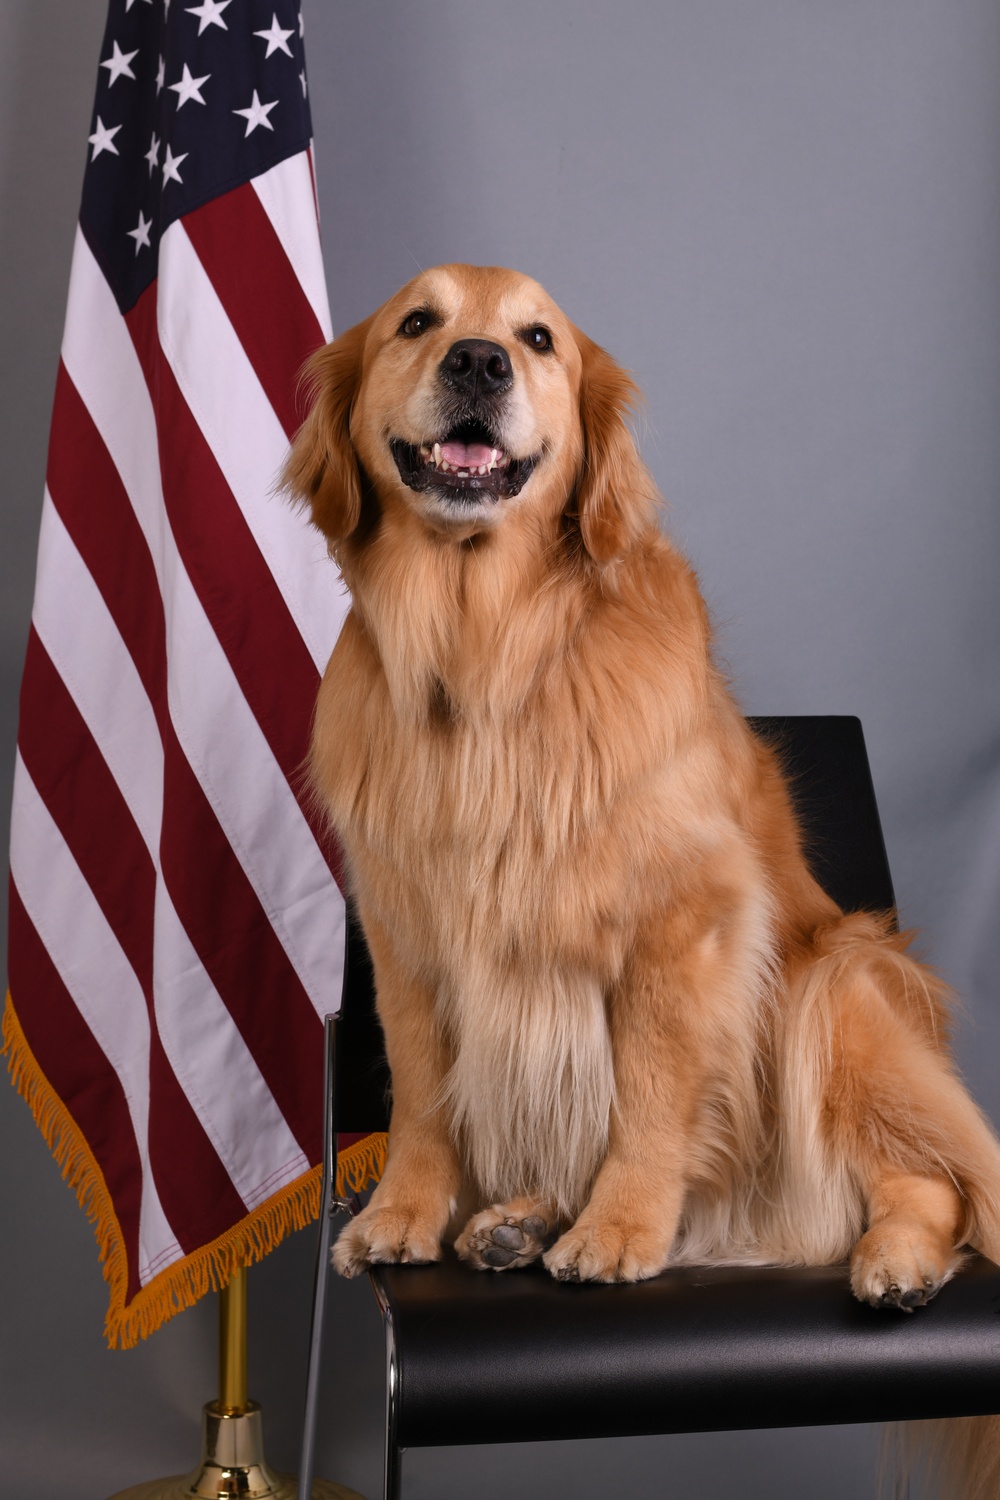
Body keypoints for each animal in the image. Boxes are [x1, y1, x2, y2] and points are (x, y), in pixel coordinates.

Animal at [281, 264, 1000, 1482]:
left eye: (539, 339)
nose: (479, 361)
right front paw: (406, 1214)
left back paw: (894, 1261)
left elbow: (653, 1094)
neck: (491, 659)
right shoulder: (404, 937)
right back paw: (512, 1219)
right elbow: (423, 1091)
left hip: (836, 986)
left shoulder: (685, 926)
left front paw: (619, 1228)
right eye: (417, 322)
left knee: (926, 1179)